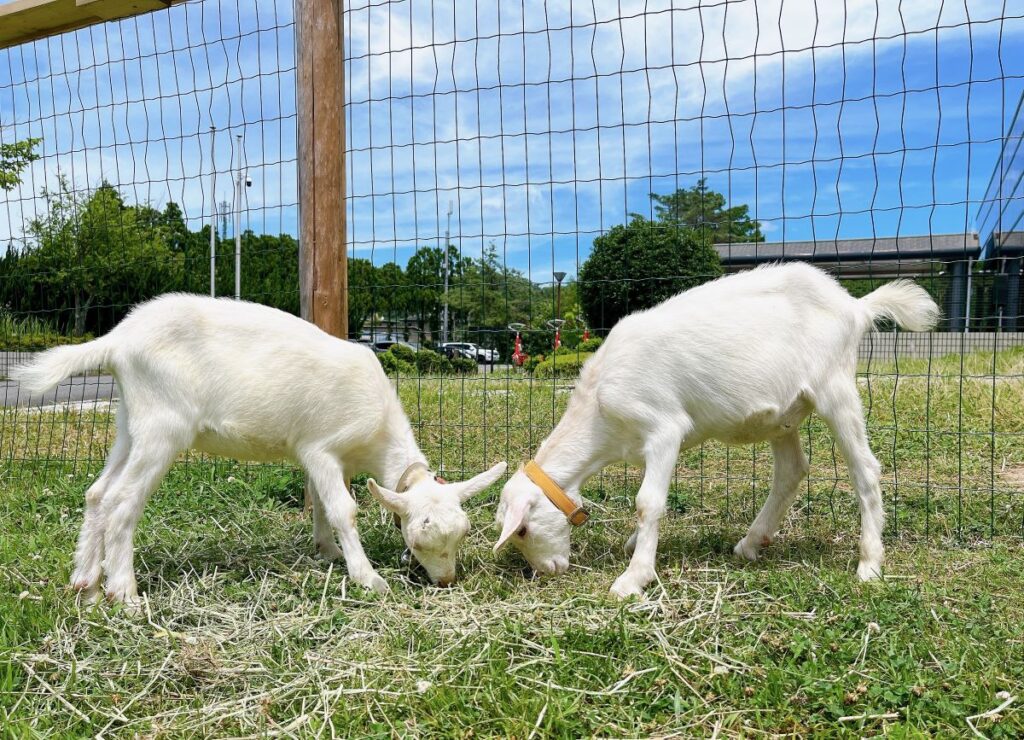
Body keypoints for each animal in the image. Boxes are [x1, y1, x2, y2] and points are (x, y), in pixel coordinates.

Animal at [491, 264, 937, 597]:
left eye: (523, 528)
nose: (549, 570)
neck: (600, 409)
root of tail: (856, 306)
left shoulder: (663, 427)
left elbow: (647, 502)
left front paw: (634, 577)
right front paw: (637, 547)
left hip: (835, 387)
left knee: (866, 471)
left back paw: (869, 564)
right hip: (784, 415)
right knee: (791, 471)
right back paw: (751, 542)